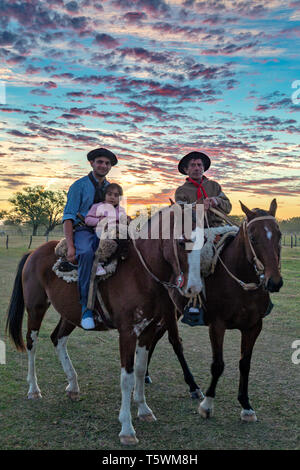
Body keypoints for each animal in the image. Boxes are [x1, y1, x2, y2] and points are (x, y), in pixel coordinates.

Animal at [6, 204, 204, 446]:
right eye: (181, 242)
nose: (194, 288)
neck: (140, 273)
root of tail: (33, 253)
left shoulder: (147, 332)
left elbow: (140, 370)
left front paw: (144, 409)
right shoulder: (127, 333)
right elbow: (127, 377)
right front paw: (127, 428)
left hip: (70, 315)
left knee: (57, 338)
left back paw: (73, 385)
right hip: (36, 308)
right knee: (32, 343)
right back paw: (34, 389)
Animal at [144, 198, 282, 422]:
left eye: (279, 235)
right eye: (253, 237)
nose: (274, 282)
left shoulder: (254, 326)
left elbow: (245, 363)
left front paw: (246, 405)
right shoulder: (217, 325)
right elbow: (218, 365)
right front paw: (207, 405)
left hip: (176, 310)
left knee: (155, 337)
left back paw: (147, 374)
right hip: (168, 309)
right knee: (175, 342)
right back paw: (193, 386)